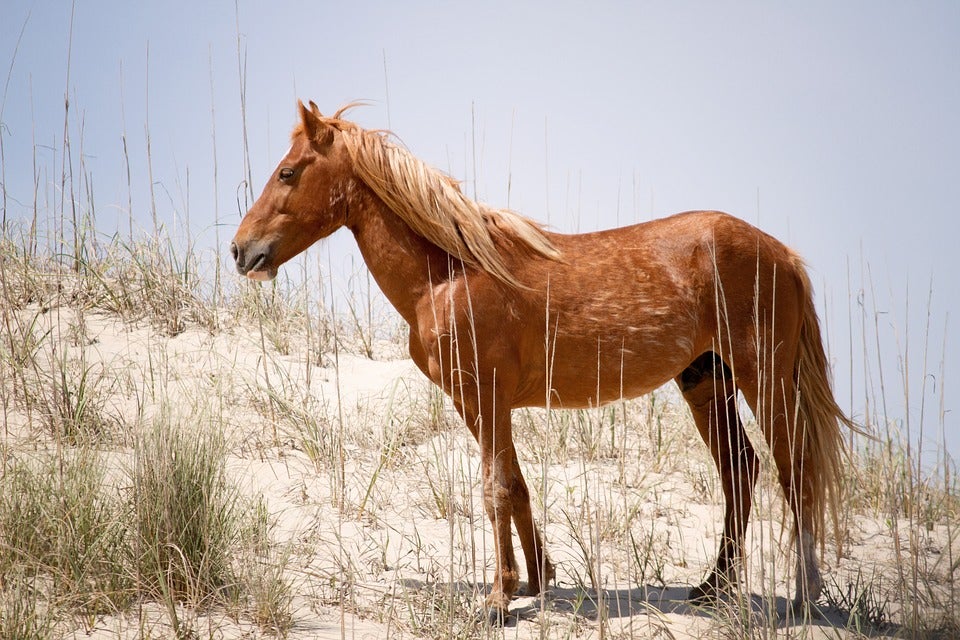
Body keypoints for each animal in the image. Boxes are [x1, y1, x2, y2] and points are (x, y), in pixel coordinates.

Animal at [231, 101, 853, 621]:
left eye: (288, 173)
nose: (241, 251)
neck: (450, 274)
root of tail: (783, 254)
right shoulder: (481, 404)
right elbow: (516, 485)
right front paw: (535, 580)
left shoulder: (487, 398)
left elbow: (494, 490)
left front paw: (499, 597)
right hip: (706, 382)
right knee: (740, 470)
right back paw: (713, 586)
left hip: (763, 380)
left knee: (794, 470)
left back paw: (804, 595)